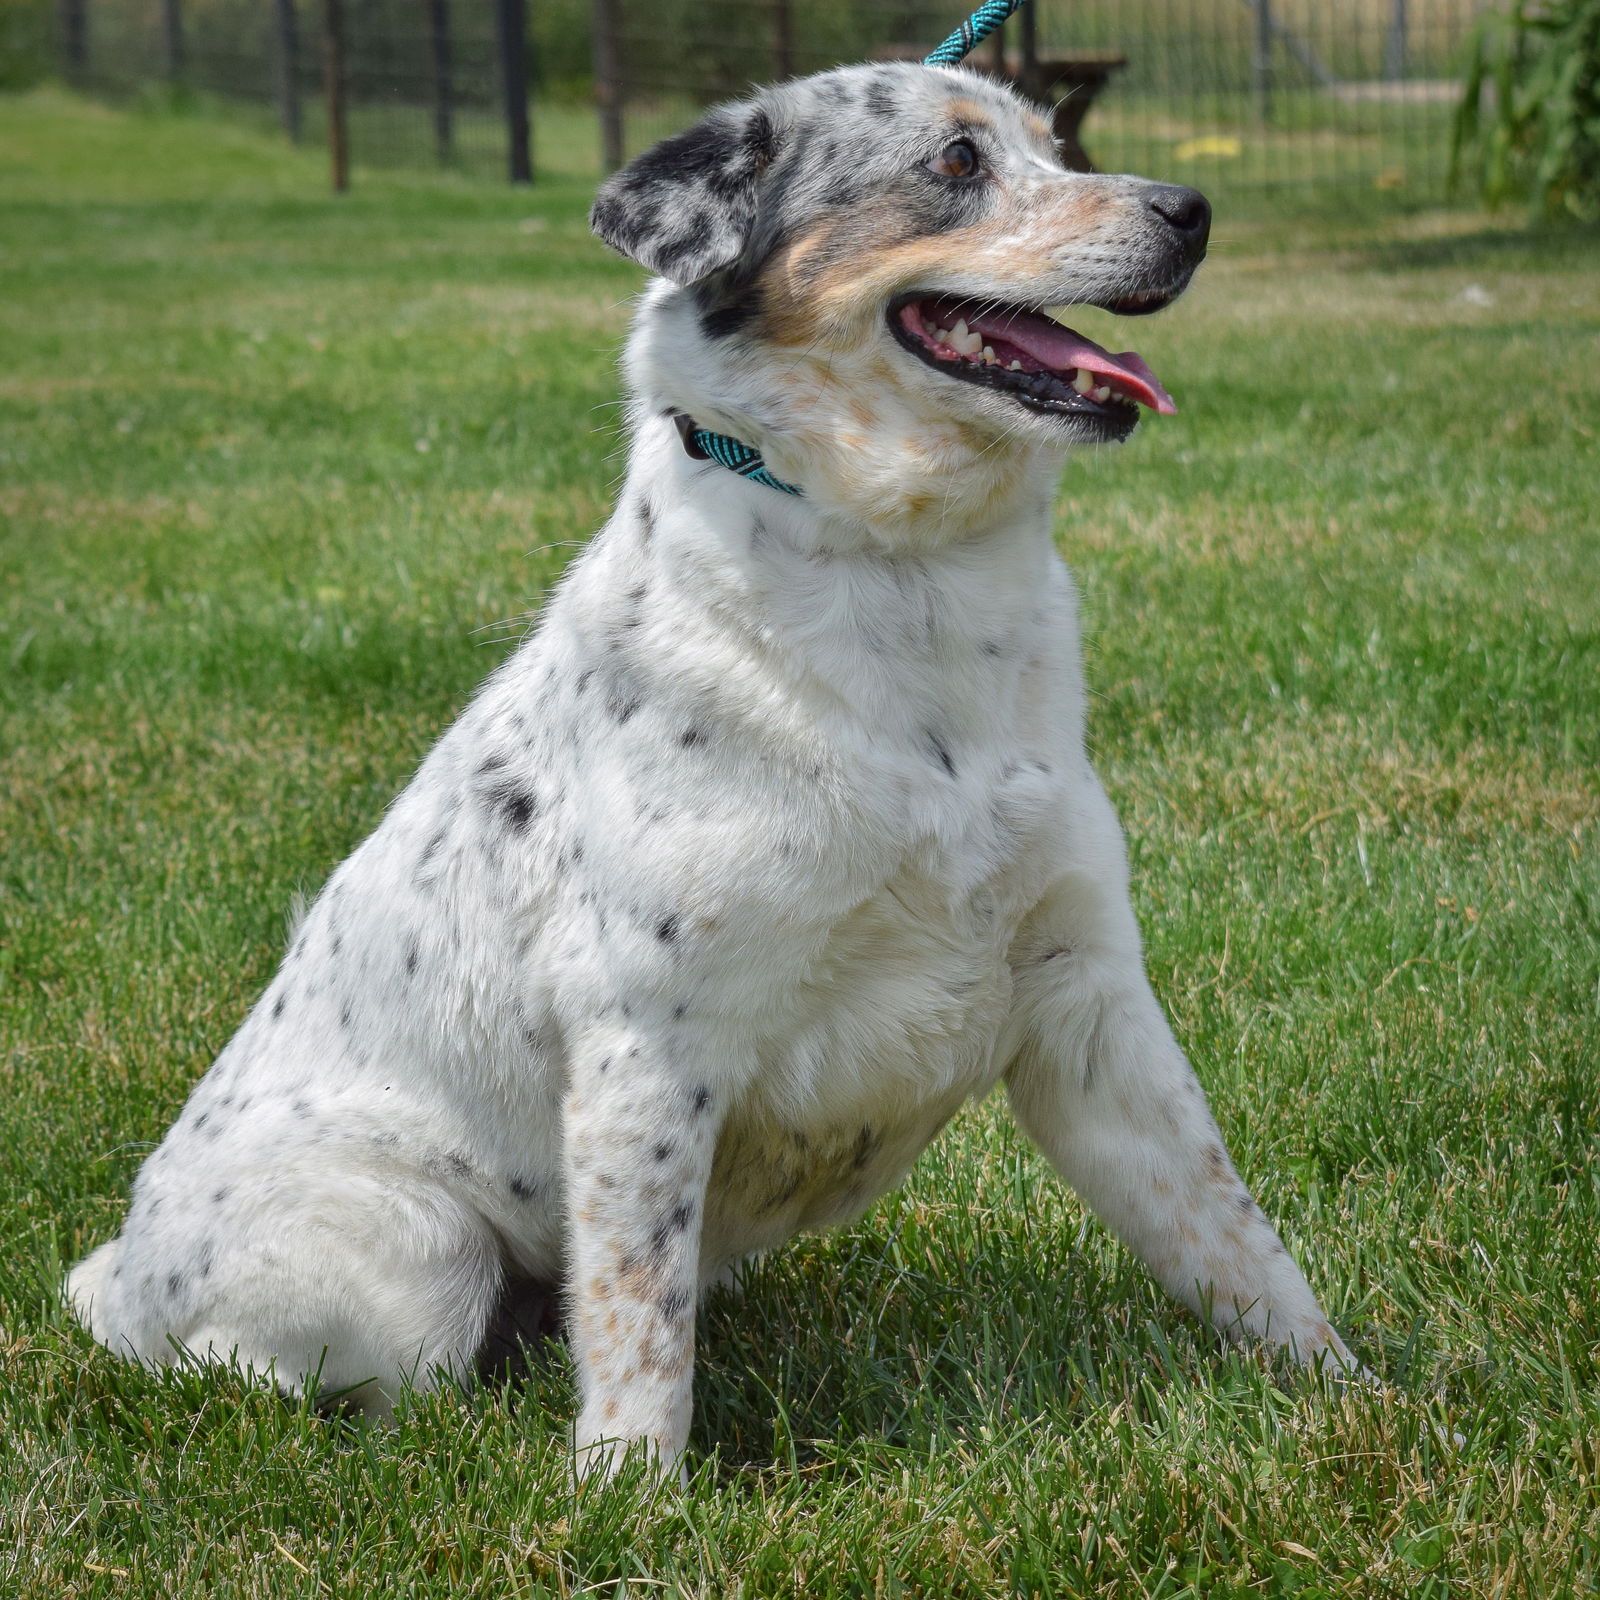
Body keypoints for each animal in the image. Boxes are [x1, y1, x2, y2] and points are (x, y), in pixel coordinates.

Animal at [65, 62, 1363, 1484]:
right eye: (956, 163)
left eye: (1052, 141)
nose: (1189, 210)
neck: (905, 590)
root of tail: (115, 1274)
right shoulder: (648, 1044)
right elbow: (640, 1324)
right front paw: (629, 1496)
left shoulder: (1087, 1002)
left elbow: (1230, 1234)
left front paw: (1353, 1398)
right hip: (418, 1254)